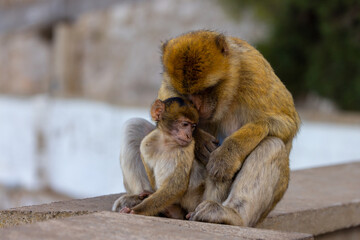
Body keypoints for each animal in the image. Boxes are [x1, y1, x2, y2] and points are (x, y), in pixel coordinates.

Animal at [119, 30, 300, 227]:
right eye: (186, 94)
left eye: (204, 91)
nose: (196, 106)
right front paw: (199, 140)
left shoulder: (254, 70)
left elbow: (287, 122)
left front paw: (227, 155)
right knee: (133, 126)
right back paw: (141, 197)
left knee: (271, 144)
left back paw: (230, 214)